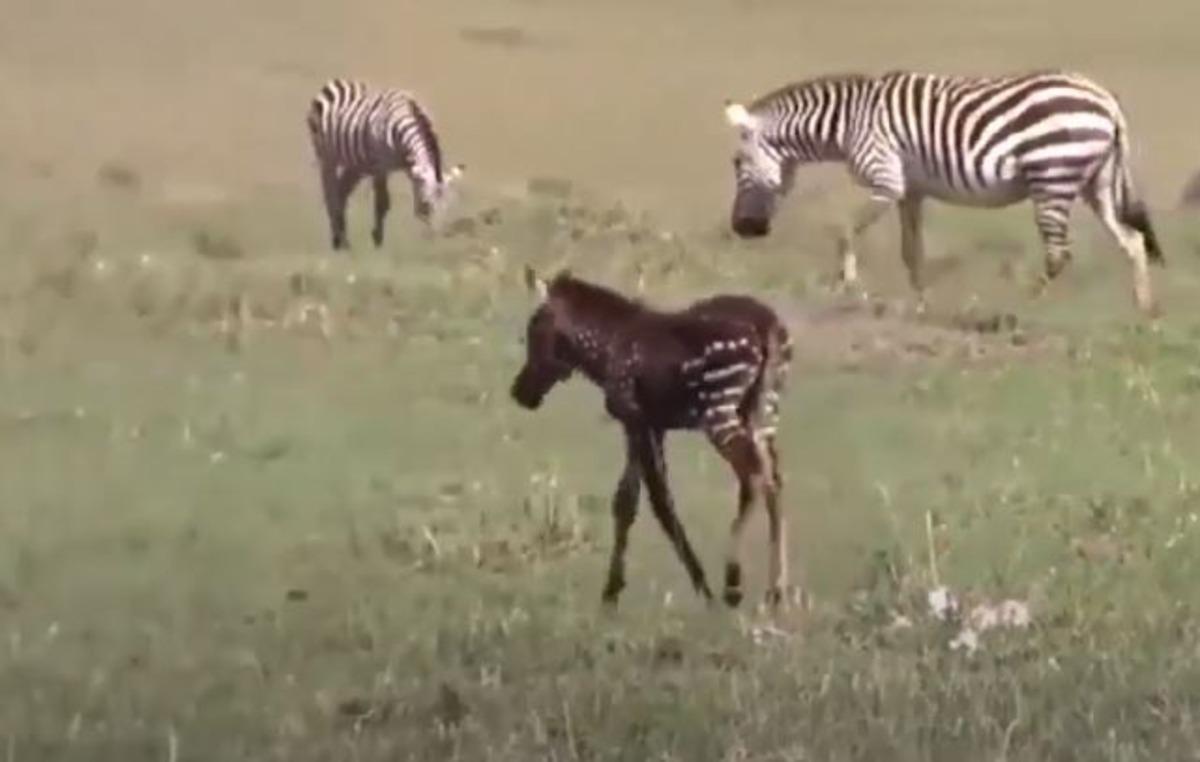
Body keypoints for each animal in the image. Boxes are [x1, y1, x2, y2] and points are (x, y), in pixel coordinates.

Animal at [306, 79, 464, 250]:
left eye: (448, 207)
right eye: (427, 204)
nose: (436, 240)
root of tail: (336, 82)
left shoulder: (409, 166)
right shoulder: (381, 166)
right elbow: (382, 203)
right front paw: (378, 242)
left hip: (356, 163)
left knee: (341, 192)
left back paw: (343, 239)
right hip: (326, 156)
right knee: (331, 194)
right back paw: (338, 241)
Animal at [723, 71, 1164, 315]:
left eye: (736, 163)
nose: (743, 229)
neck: (847, 124)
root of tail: (1106, 101)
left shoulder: (886, 181)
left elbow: (845, 230)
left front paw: (848, 283)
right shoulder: (911, 191)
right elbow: (911, 251)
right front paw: (921, 305)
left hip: (1052, 176)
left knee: (1059, 254)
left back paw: (1021, 306)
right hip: (1097, 183)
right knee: (1132, 241)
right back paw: (1145, 312)